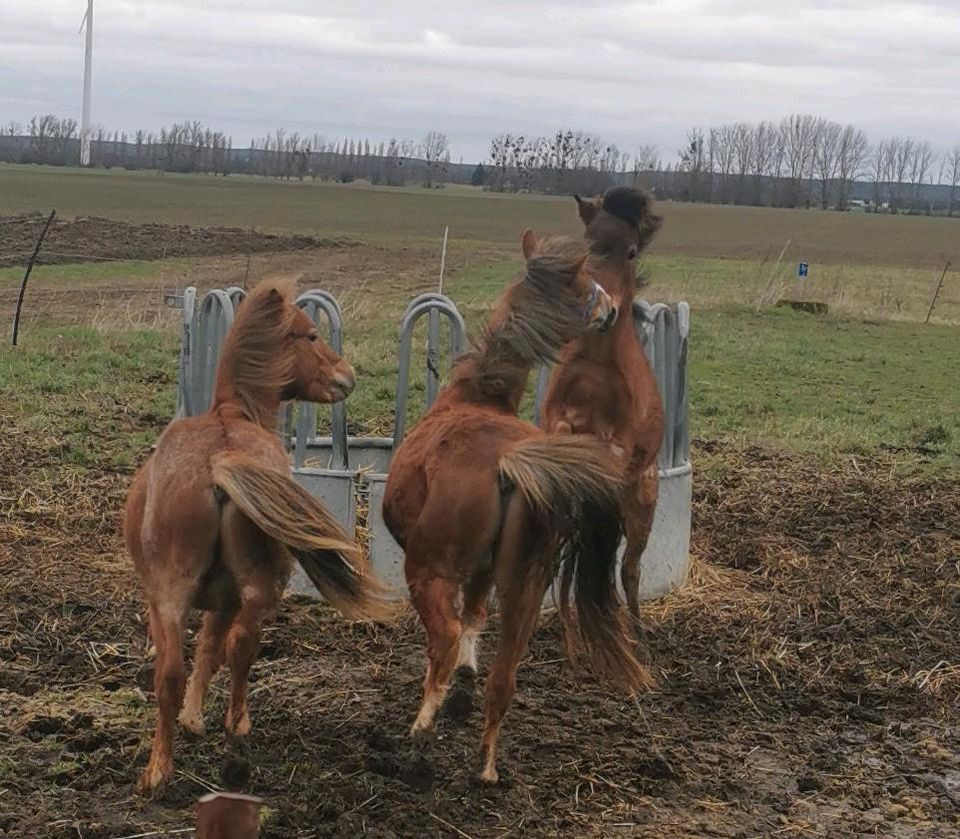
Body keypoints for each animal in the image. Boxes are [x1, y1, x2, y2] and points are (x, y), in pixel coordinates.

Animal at [544, 189, 664, 632]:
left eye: (630, 252)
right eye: (588, 244)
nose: (604, 311)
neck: (597, 361)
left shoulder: (621, 440)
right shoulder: (555, 415)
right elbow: (560, 434)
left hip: (641, 508)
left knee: (629, 569)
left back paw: (638, 630)